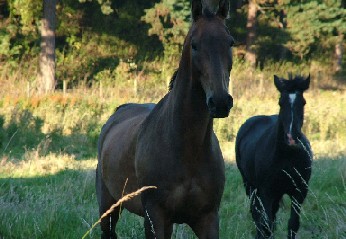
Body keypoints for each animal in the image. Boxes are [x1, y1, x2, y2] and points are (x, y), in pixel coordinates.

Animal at [96, 0, 234, 238]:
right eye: (195, 45)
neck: (187, 148)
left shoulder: (207, 218)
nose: (220, 102)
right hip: (109, 209)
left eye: (230, 43)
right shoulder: (155, 217)